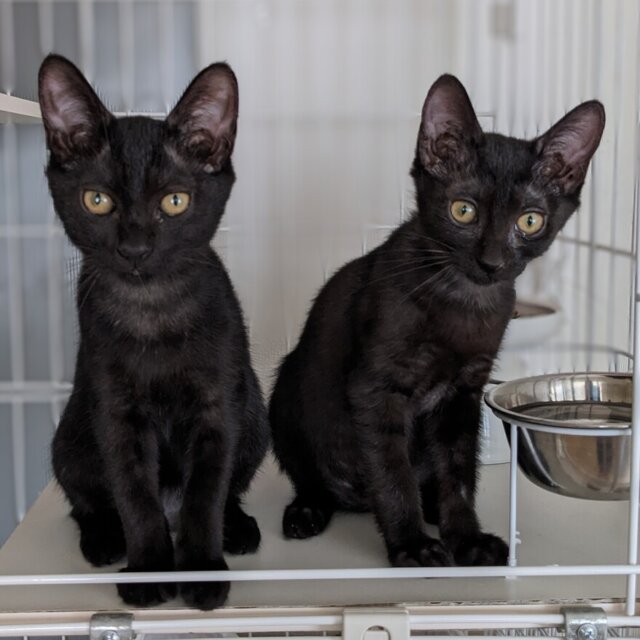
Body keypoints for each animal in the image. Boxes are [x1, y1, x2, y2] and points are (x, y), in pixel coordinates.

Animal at [39, 54, 269, 610]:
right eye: (97, 200)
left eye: (175, 202)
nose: (136, 248)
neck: (153, 312)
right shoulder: (114, 412)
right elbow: (133, 495)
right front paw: (148, 571)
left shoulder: (218, 405)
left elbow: (206, 494)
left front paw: (202, 570)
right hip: (70, 437)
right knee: (86, 501)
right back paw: (103, 539)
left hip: (255, 415)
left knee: (226, 491)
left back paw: (237, 528)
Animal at [270, 74, 604, 568]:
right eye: (463, 210)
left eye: (530, 221)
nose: (491, 262)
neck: (464, 301)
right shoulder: (376, 389)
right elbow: (393, 472)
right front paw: (411, 545)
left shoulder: (463, 394)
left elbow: (458, 473)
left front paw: (466, 538)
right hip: (286, 391)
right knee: (312, 476)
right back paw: (308, 510)